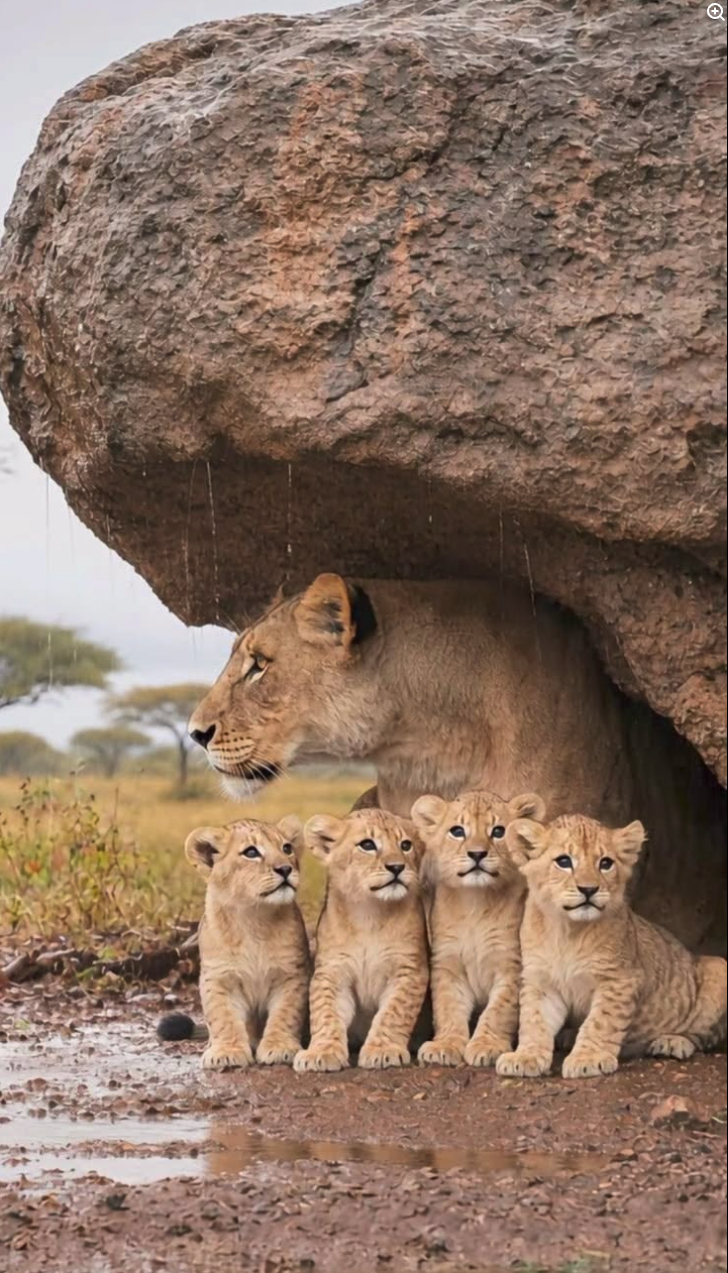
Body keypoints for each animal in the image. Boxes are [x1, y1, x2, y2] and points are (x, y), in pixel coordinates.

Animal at [158, 816, 310, 1069]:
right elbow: (223, 1017)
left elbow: (285, 1013)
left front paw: (280, 1048)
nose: (285, 869)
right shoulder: (219, 977)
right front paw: (226, 1053)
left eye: (287, 848)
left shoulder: (291, 974)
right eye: (251, 852)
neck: (254, 918)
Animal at [292, 809, 429, 1072]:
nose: (397, 867)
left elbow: (393, 1013)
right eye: (367, 845)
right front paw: (321, 1052)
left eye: (405, 845)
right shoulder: (333, 972)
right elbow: (325, 1013)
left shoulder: (409, 970)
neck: (370, 914)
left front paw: (382, 1050)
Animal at [412, 789, 545, 1068]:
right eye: (457, 831)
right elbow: (448, 1008)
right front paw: (445, 1045)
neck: (475, 903)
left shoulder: (511, 965)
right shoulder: (447, 964)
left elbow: (497, 1011)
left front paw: (487, 1045)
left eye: (498, 831)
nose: (477, 854)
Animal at [496, 815, 727, 1080]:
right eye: (564, 861)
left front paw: (588, 1059)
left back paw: (672, 1042)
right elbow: (534, 1020)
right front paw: (525, 1057)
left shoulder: (620, 979)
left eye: (605, 863)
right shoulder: (540, 981)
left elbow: (600, 1021)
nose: (589, 889)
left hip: (718, 966)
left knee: (705, 1035)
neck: (567, 931)